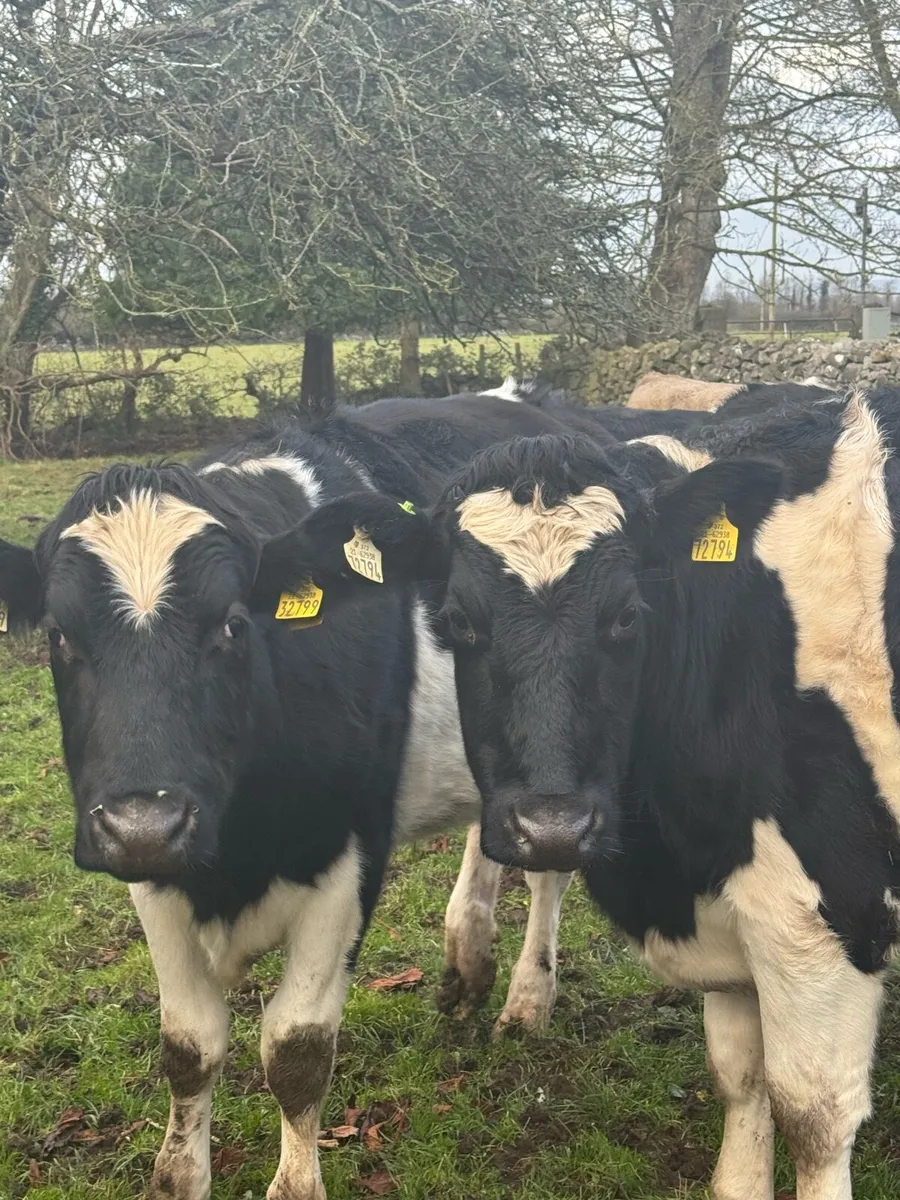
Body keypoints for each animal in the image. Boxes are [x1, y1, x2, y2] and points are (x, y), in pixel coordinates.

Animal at [0, 390, 633, 1200]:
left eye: (233, 625)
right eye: (59, 635)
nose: (147, 824)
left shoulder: (347, 861)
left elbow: (296, 1050)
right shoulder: (151, 865)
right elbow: (188, 1046)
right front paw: (178, 1175)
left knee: (550, 865)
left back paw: (527, 1001)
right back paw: (467, 961)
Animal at [283, 388, 900, 1200]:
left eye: (629, 616)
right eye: (457, 623)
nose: (552, 829)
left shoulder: (828, 913)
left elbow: (813, 1114)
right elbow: (742, 1078)